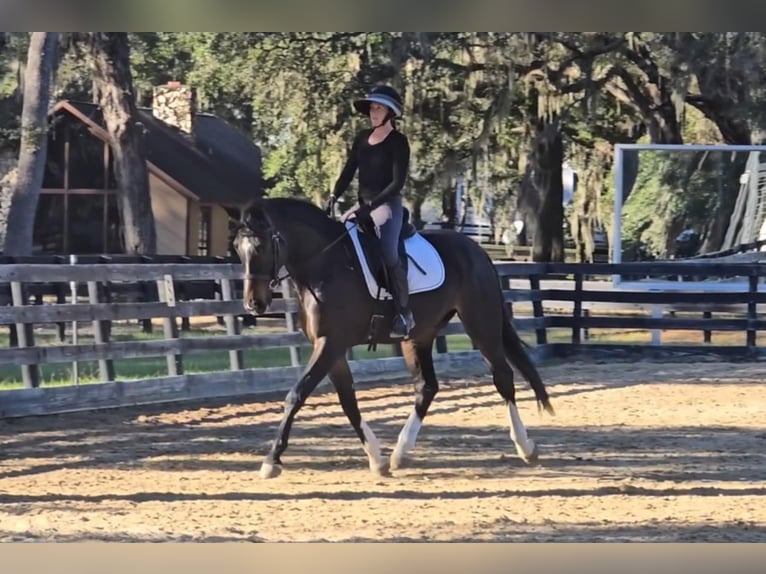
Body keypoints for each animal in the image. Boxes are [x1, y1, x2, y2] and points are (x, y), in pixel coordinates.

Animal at [226, 199, 552, 482]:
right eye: (238, 248)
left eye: (261, 246)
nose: (254, 304)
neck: (325, 265)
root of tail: (477, 250)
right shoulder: (332, 347)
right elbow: (348, 401)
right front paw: (377, 459)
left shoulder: (331, 343)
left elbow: (297, 395)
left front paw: (271, 461)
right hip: (418, 336)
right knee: (427, 387)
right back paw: (400, 452)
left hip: (480, 322)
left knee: (503, 377)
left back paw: (525, 447)